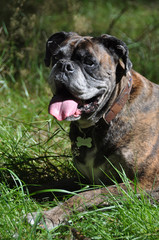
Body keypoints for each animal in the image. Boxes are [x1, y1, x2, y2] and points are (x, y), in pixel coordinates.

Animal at [26, 31, 159, 229]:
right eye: (56, 57)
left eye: (89, 62)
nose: (64, 65)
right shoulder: (83, 178)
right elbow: (51, 184)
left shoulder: (140, 184)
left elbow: (83, 197)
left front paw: (46, 216)